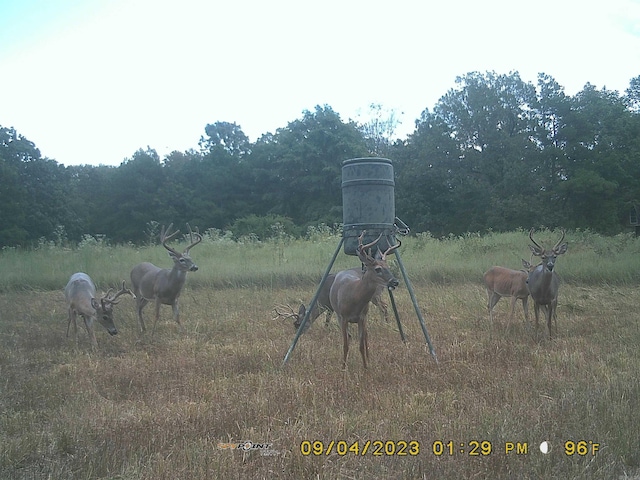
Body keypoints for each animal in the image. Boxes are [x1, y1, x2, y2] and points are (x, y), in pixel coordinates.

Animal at [330, 231, 400, 370]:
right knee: (349, 337)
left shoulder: (362, 317)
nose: (395, 281)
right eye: (378, 269)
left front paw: (366, 366)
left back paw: (369, 358)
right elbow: (346, 344)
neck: (355, 298)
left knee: (366, 337)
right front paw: (343, 367)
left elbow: (361, 345)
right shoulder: (344, 317)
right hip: (339, 316)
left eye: (388, 266)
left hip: (365, 317)